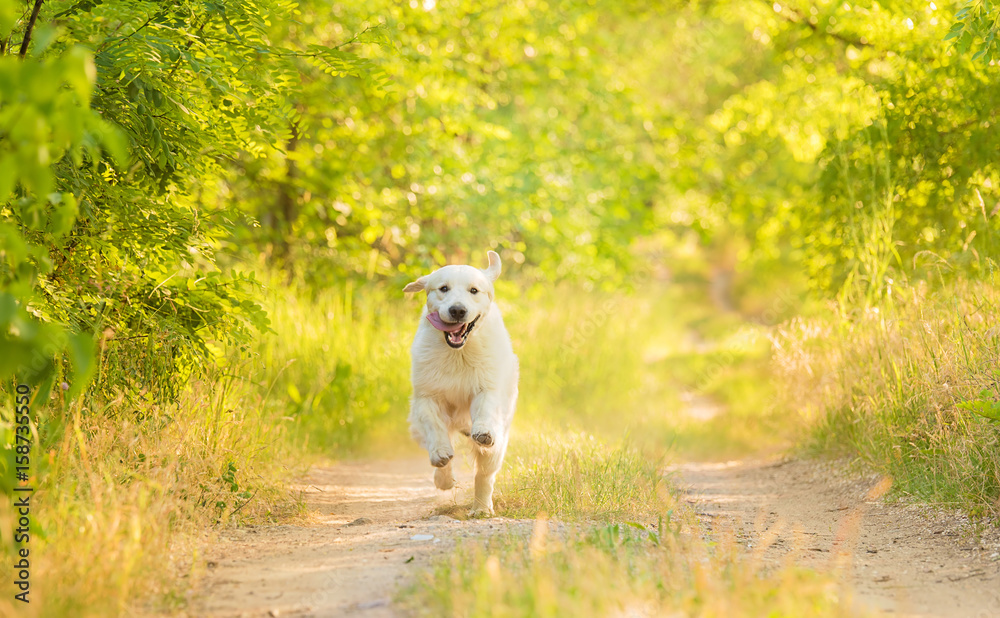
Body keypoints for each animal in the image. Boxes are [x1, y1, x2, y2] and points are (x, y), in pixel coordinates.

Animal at [402, 248, 520, 512]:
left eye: (473, 290)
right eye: (443, 288)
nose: (457, 310)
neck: (458, 353)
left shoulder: (487, 386)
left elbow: (485, 408)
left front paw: (483, 430)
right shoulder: (426, 396)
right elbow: (434, 425)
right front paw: (440, 455)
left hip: (499, 443)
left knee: (484, 474)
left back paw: (482, 508)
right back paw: (444, 478)